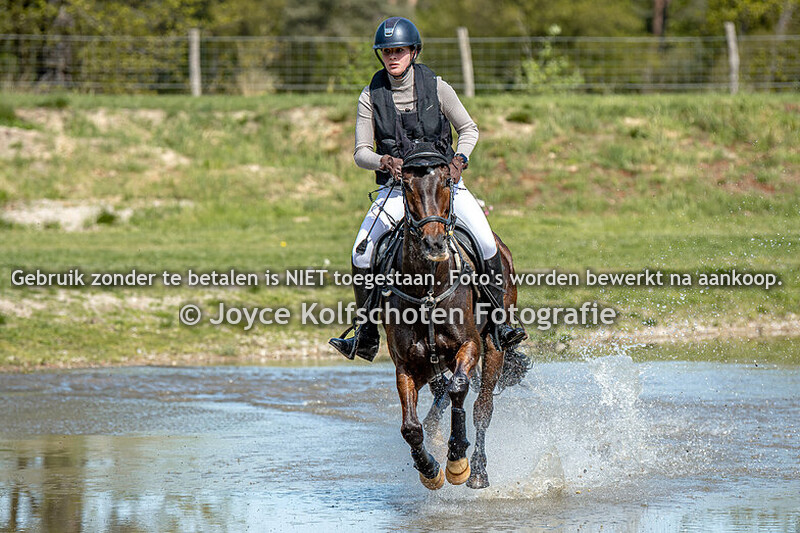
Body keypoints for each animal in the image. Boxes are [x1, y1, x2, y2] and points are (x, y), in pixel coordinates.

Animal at [377, 146, 529, 490]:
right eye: (406, 186)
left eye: (447, 182)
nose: (434, 243)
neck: (428, 289)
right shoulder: (406, 365)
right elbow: (411, 426)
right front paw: (429, 468)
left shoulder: (469, 345)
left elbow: (460, 389)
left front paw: (457, 459)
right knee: (441, 396)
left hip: (494, 345)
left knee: (482, 407)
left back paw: (479, 471)